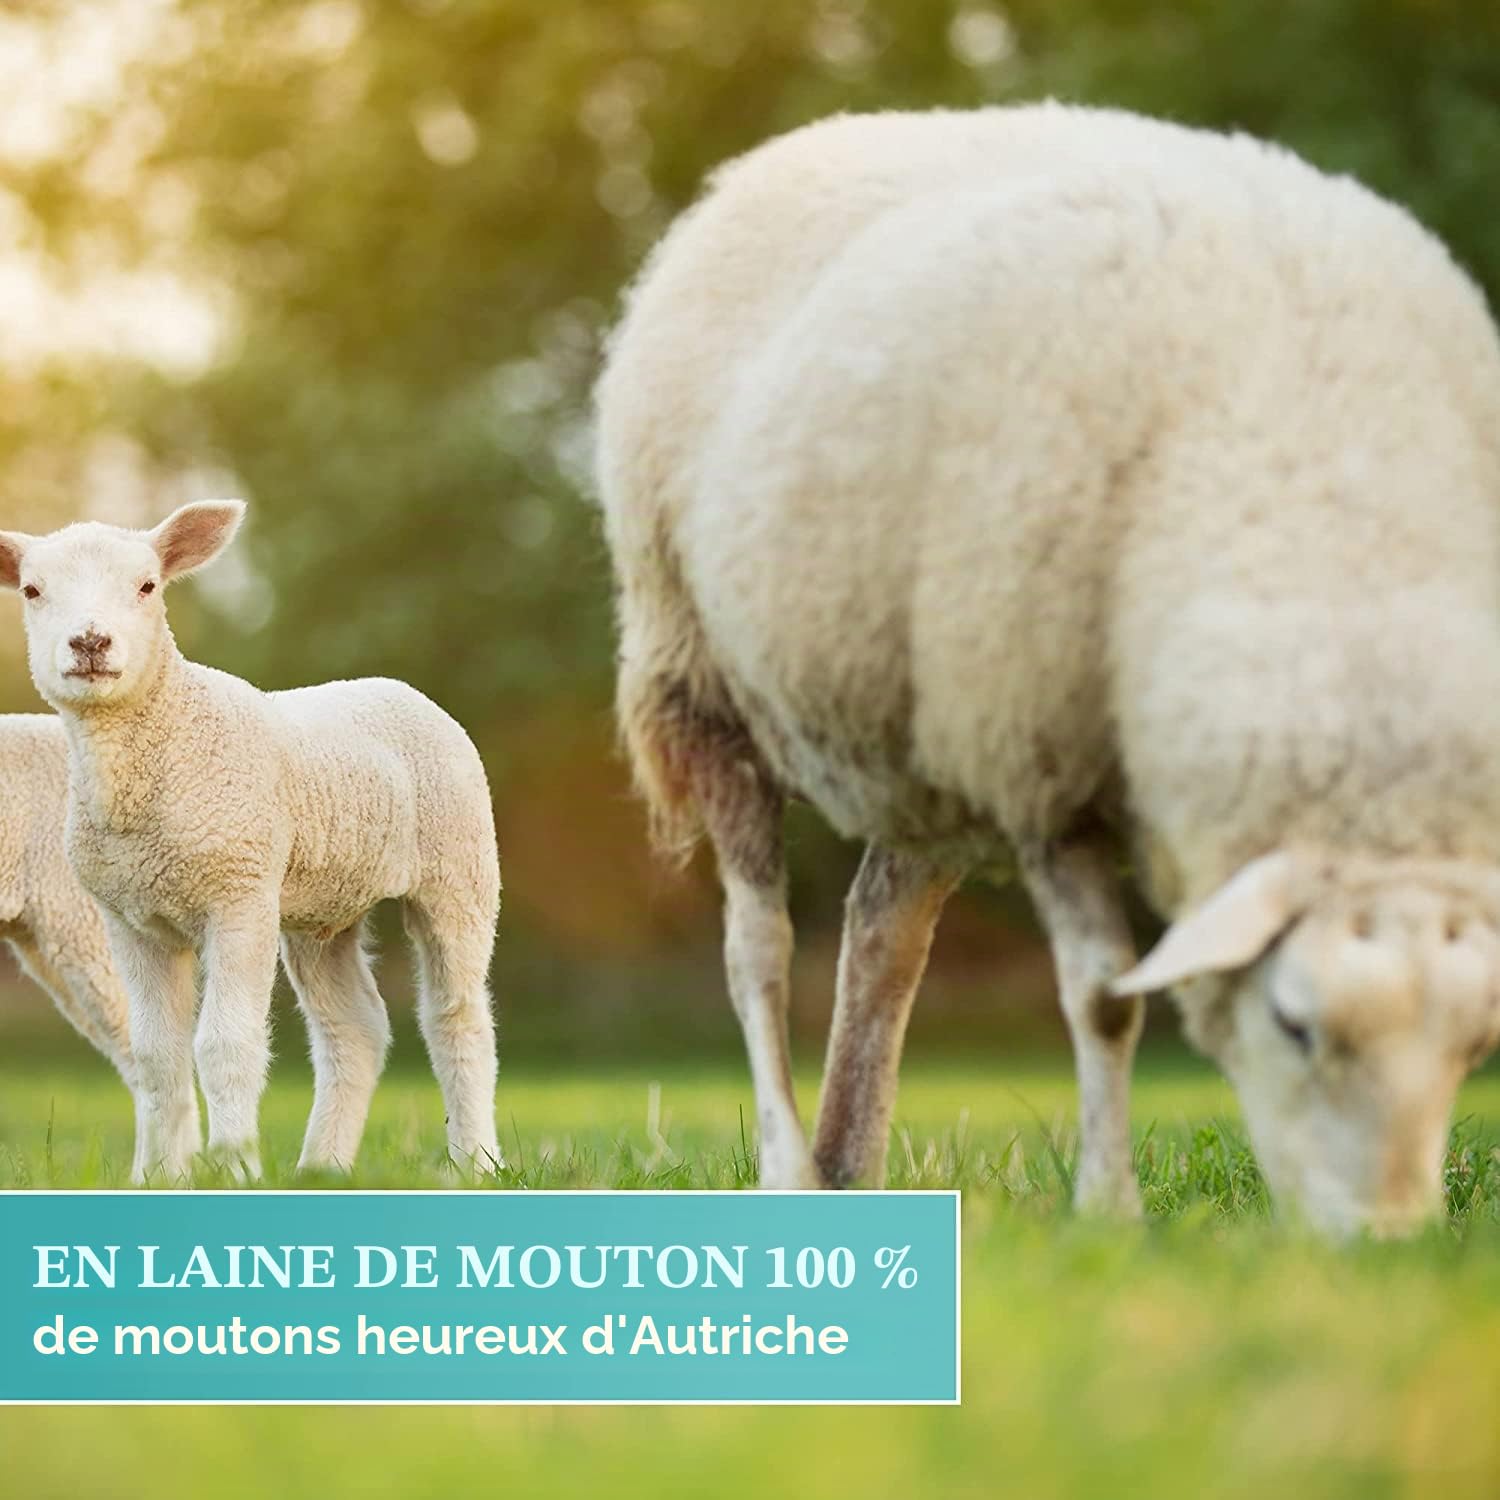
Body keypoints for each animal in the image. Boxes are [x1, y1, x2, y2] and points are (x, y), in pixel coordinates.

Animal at [593, 103, 1500, 1235]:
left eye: (1474, 1047)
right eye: (1296, 1025)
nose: (1382, 1242)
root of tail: (797, 146)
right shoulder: (1042, 765)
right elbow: (1104, 997)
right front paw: (1109, 1211)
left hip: (923, 728)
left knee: (881, 933)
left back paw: (852, 1162)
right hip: (702, 675)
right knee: (757, 946)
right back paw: (791, 1168)